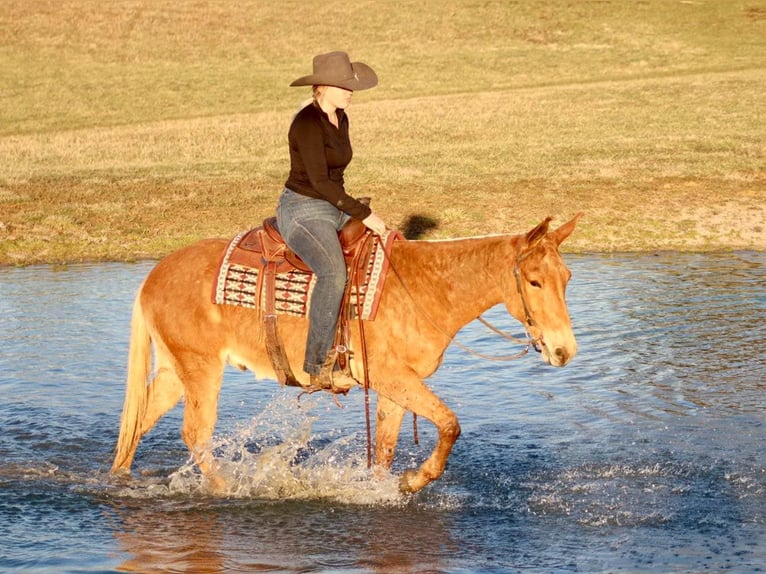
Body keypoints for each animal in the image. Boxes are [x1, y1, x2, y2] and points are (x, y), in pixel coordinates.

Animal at [111, 213, 582, 493]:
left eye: (567, 277)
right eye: (535, 281)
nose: (564, 350)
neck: (427, 287)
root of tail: (153, 275)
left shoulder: (397, 387)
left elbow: (387, 448)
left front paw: (388, 488)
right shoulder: (393, 378)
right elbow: (450, 425)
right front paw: (414, 480)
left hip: (175, 372)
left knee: (138, 423)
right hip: (201, 370)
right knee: (196, 434)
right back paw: (227, 489)